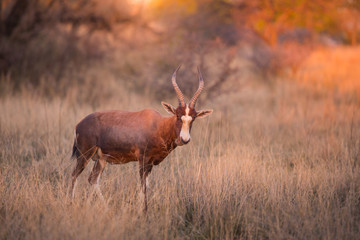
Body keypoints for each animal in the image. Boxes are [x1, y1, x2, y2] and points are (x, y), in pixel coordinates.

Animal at [70, 66, 214, 212]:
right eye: (178, 115)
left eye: (193, 118)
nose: (184, 139)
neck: (158, 124)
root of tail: (79, 125)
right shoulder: (142, 160)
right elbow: (143, 186)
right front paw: (144, 211)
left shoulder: (150, 163)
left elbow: (147, 186)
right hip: (85, 155)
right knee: (74, 175)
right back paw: (70, 203)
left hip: (101, 159)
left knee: (92, 179)